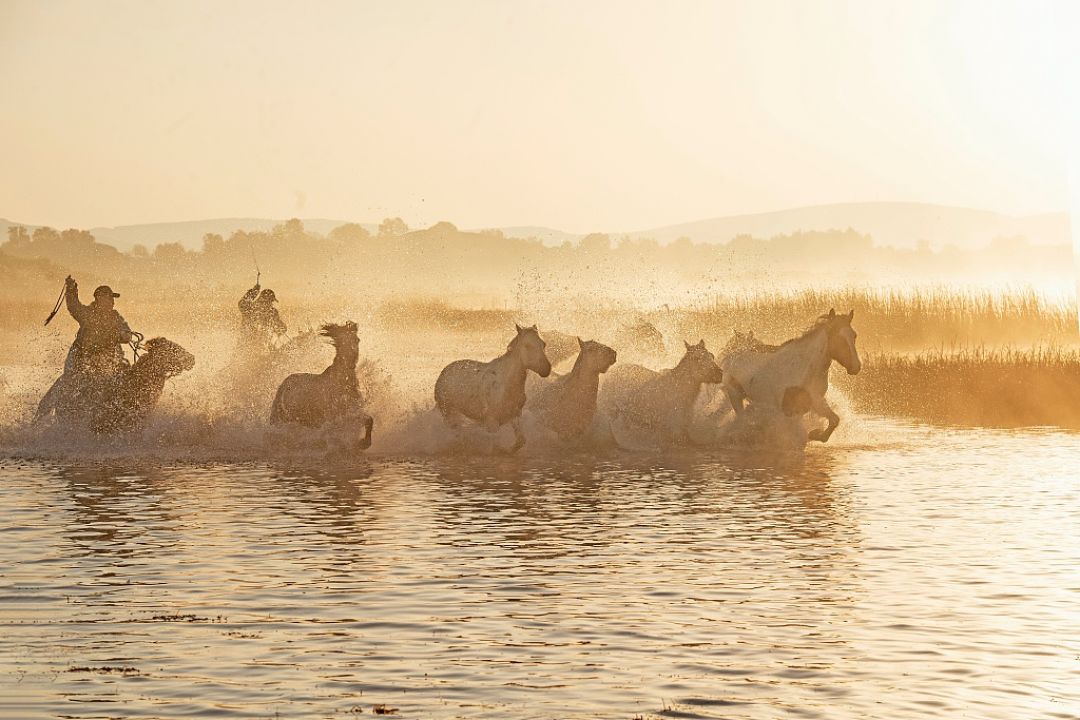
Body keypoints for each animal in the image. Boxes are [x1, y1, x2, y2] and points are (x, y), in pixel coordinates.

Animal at [721, 308, 864, 442]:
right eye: (838, 337)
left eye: (854, 335)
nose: (856, 367)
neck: (805, 368)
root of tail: (734, 352)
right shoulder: (787, 408)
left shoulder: (815, 401)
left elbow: (834, 420)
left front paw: (815, 434)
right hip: (734, 395)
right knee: (741, 418)